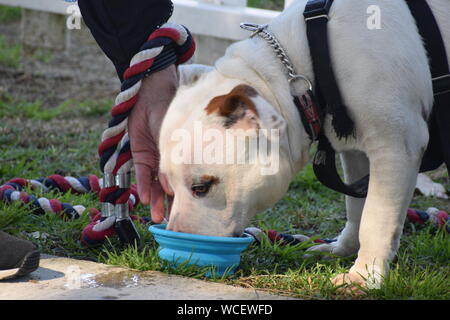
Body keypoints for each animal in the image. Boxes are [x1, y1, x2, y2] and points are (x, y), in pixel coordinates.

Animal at [157, 0, 446, 288]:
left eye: (201, 188)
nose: (177, 238)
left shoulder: (395, 145)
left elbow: (375, 218)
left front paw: (364, 275)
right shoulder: (356, 154)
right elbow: (357, 207)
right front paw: (342, 250)